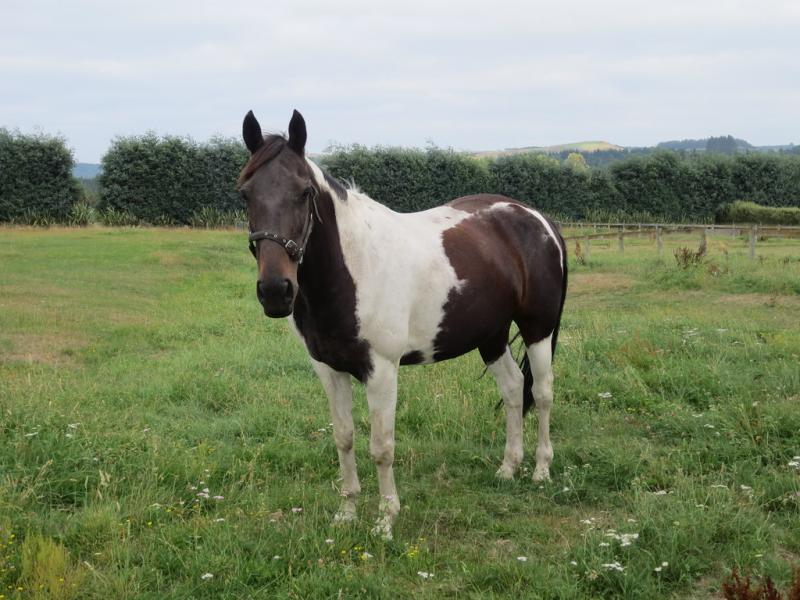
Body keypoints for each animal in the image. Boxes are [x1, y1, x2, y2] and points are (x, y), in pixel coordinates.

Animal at [238, 109, 568, 539]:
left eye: (305, 192)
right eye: (245, 194)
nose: (276, 291)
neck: (353, 268)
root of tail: (540, 220)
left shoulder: (381, 370)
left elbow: (382, 446)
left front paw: (384, 520)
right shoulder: (328, 370)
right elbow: (344, 438)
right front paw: (347, 512)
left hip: (537, 328)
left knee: (542, 394)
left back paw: (542, 470)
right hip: (491, 335)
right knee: (514, 390)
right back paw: (508, 468)